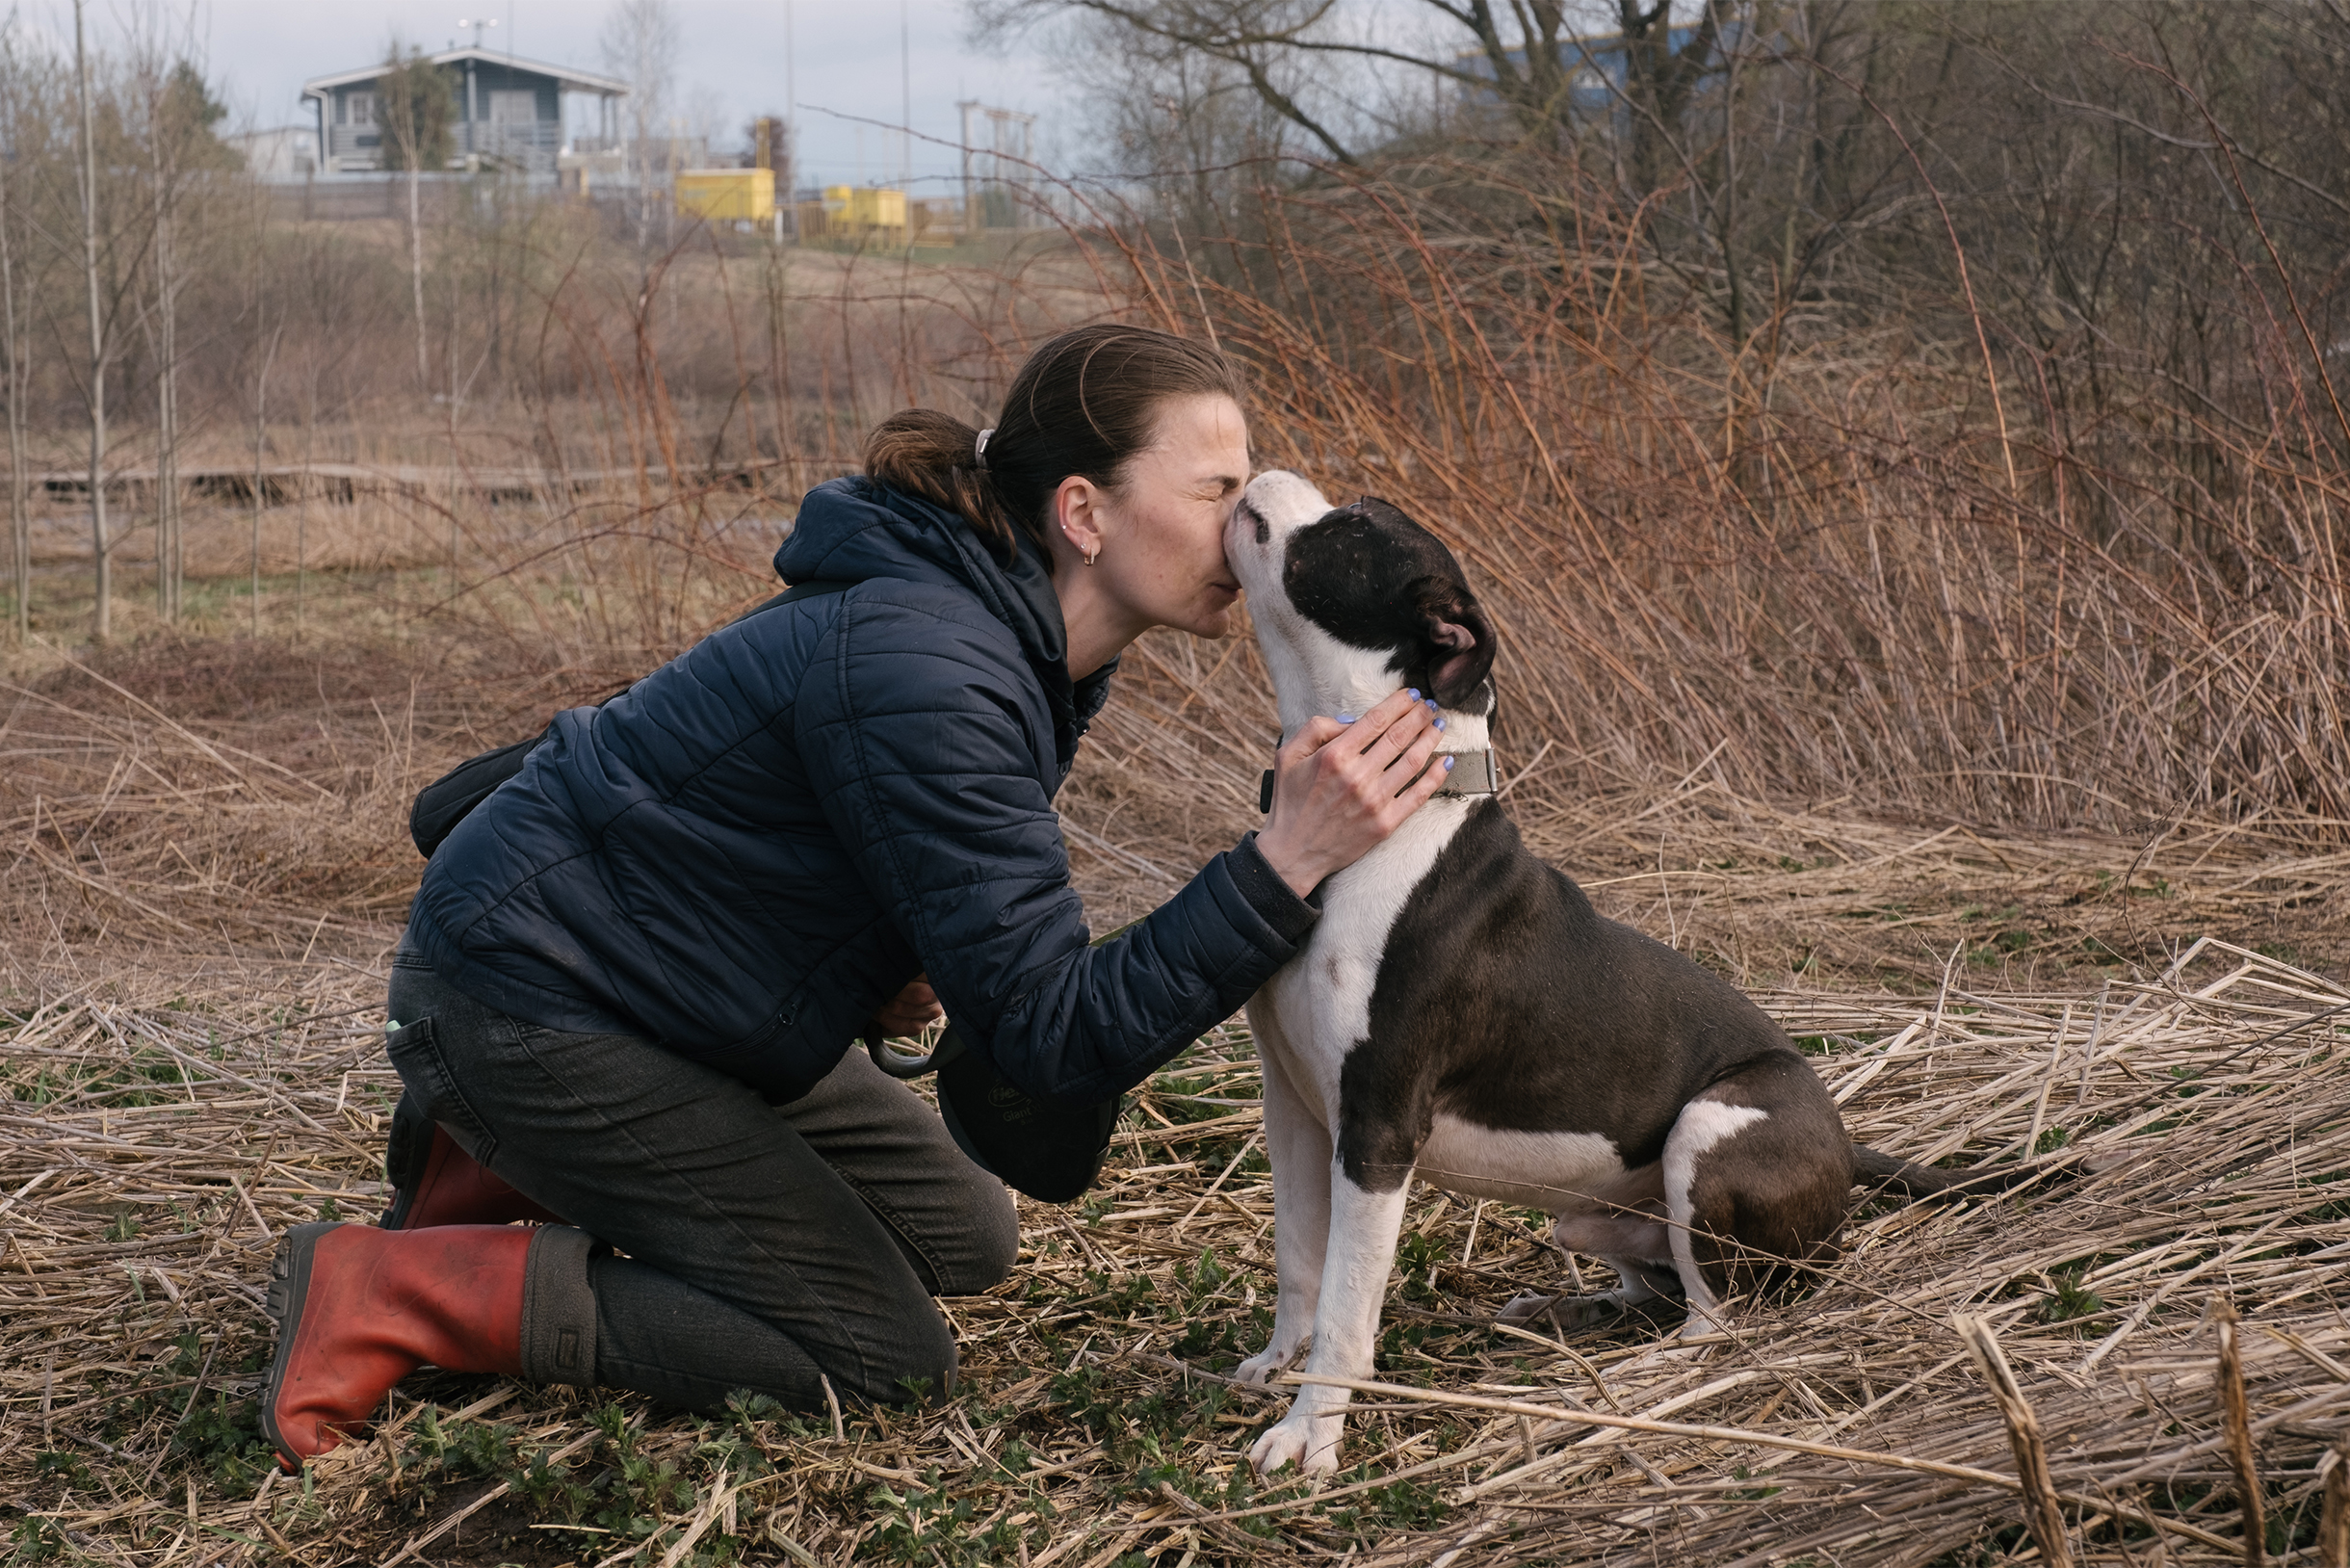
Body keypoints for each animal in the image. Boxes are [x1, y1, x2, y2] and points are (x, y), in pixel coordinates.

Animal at [1231, 472, 2021, 1476]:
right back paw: (1563, 1310)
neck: (1381, 825)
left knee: (1715, 1316)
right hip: (1585, 1213)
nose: (1263, 471)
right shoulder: (1293, 1105)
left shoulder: (1375, 1132)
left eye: (1358, 522)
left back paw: (1654, 1367)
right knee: (1650, 1284)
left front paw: (1310, 1432)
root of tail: (1848, 1147)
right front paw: (1276, 1366)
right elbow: (1301, 1263)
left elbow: (1344, 1302)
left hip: (1711, 1129)